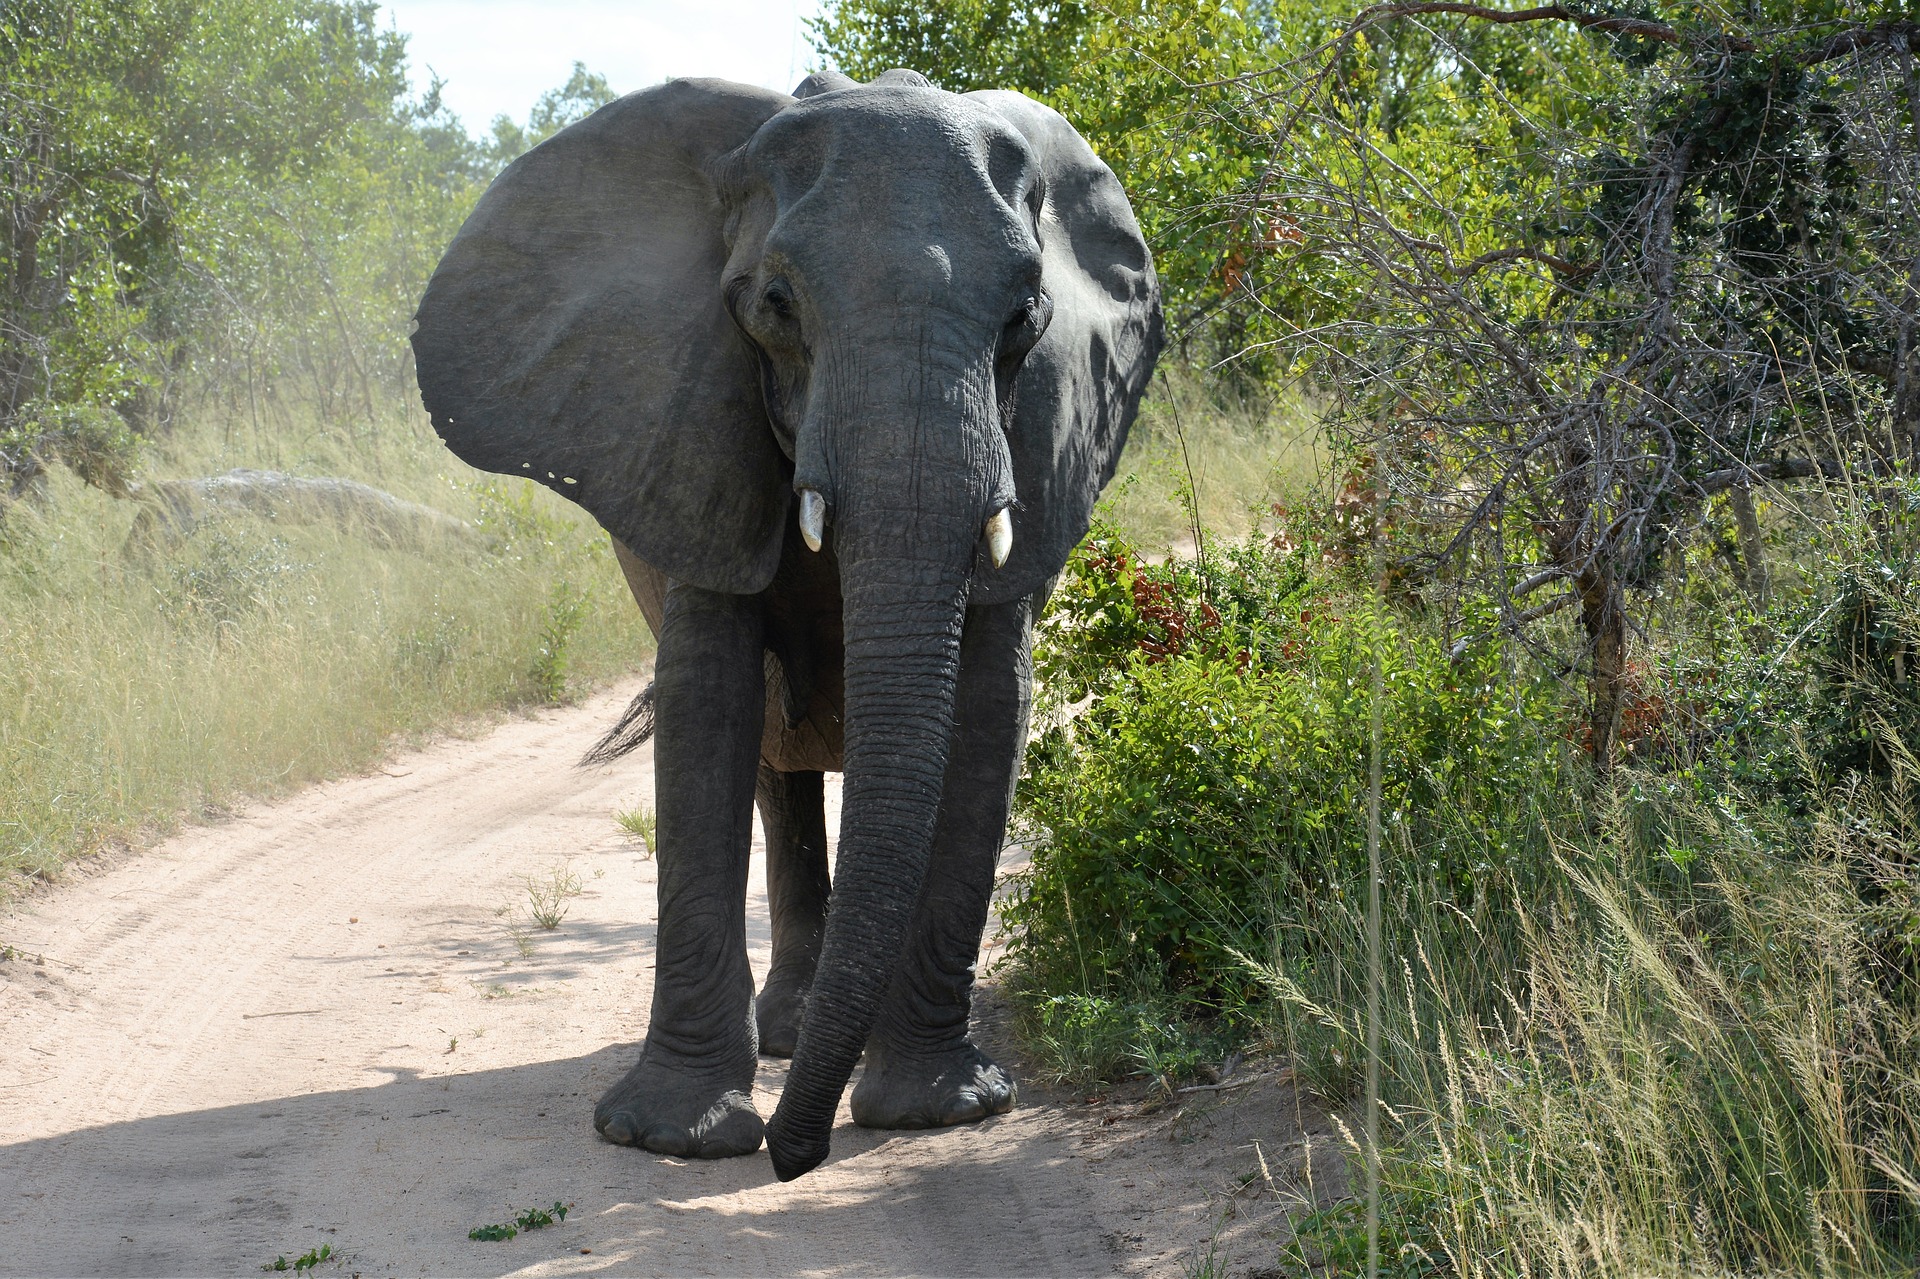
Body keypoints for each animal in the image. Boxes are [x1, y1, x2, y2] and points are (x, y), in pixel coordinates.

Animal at [412, 62, 1159, 1175]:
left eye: (1026, 317)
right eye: (774, 304)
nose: (792, 1158)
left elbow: (991, 706)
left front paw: (938, 1112)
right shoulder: (685, 434)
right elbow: (708, 702)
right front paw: (671, 1138)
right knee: (777, 759)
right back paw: (789, 1039)